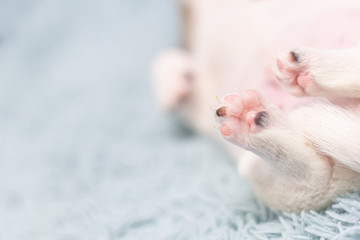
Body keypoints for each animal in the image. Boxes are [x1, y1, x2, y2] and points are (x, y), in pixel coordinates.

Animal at [153, 0, 360, 212]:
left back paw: (311, 66)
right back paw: (253, 120)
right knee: (315, 174)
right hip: (298, 191)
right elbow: (164, 58)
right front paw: (174, 84)